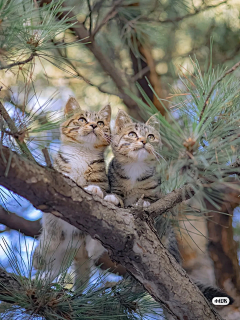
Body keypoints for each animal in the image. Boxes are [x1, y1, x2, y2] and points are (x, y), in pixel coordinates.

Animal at [33, 97, 111, 288]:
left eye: (100, 122)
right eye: (82, 119)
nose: (93, 125)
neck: (83, 152)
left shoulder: (102, 180)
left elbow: (97, 187)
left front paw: (95, 190)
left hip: (83, 240)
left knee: (91, 251)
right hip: (52, 242)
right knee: (44, 253)